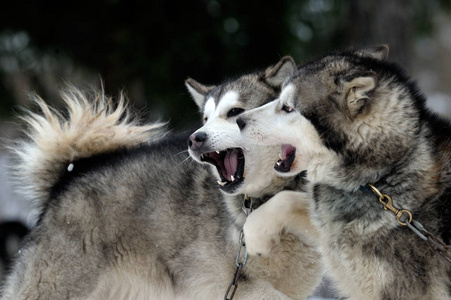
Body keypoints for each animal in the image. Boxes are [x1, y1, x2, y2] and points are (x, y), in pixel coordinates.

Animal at [1, 57, 324, 298]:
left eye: (235, 112)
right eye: (205, 118)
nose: (195, 138)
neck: (262, 201)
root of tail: (66, 178)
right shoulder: (228, 286)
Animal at [238, 45, 450, 300]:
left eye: (287, 107)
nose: (238, 120)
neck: (380, 178)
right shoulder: (329, 224)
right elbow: (287, 198)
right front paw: (255, 234)